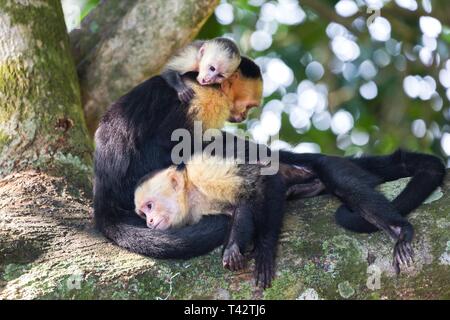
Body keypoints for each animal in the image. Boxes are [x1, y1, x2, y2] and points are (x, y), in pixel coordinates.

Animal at [135, 154, 286, 288]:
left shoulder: (204, 175)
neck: (191, 195)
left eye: (149, 206)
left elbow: (264, 175)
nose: (149, 222)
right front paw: (233, 247)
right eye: (143, 214)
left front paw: (264, 249)